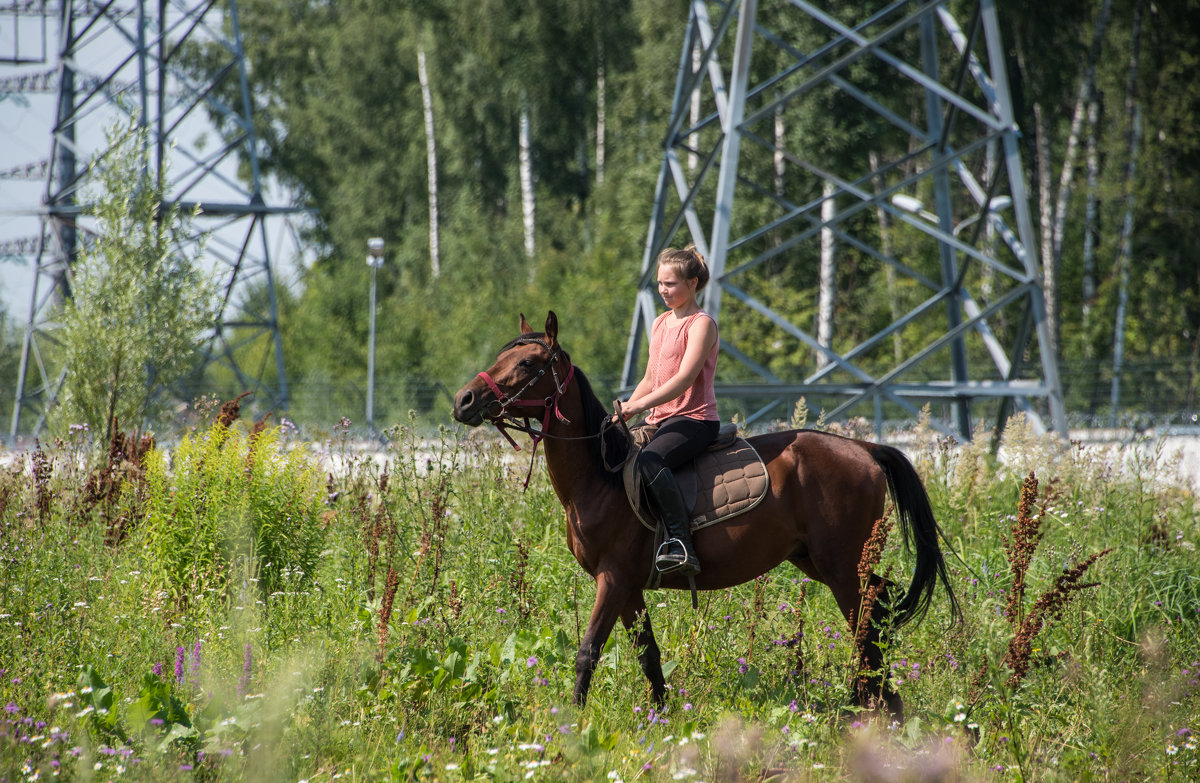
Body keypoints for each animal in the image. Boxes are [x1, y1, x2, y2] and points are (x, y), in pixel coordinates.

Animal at [451, 312, 955, 715]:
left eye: (527, 364)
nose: (464, 401)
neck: (600, 476)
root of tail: (865, 448)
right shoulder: (629, 587)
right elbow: (648, 654)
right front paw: (661, 719)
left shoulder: (612, 578)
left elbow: (588, 650)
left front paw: (570, 722)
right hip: (821, 561)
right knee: (878, 608)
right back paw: (874, 701)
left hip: (843, 566)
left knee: (866, 623)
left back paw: (872, 705)